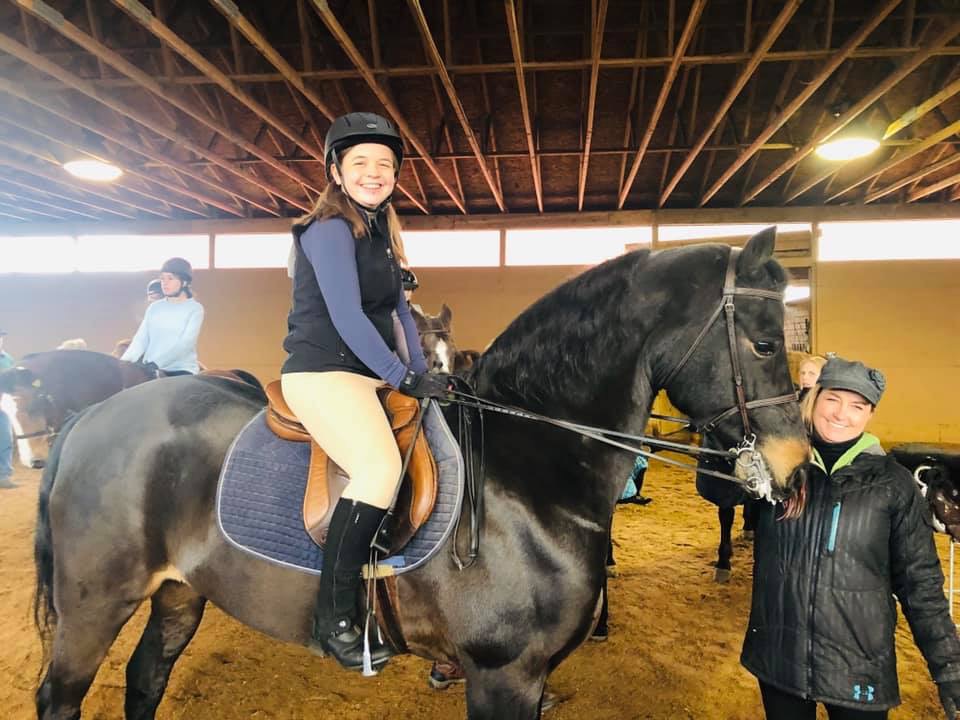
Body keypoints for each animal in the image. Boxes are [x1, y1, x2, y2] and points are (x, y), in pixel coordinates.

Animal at [33, 227, 811, 720]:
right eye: (765, 343)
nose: (796, 470)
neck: (529, 471)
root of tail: (93, 416)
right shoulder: (504, 676)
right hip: (94, 606)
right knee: (61, 697)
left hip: (177, 594)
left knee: (144, 679)